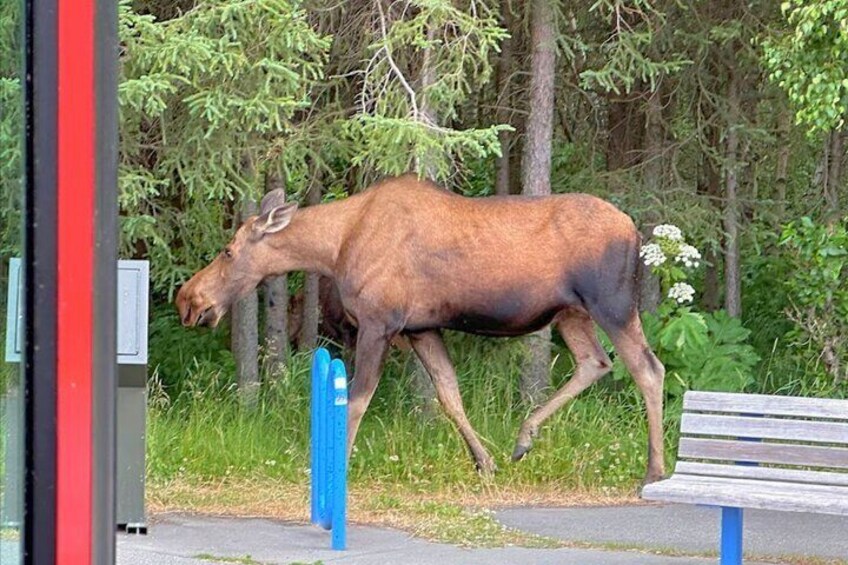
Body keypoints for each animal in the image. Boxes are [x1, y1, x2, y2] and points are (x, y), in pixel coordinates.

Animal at [179, 174, 664, 482]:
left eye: (228, 251)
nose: (188, 300)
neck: (335, 249)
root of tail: (636, 233)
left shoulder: (378, 323)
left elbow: (357, 400)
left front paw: (337, 465)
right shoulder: (420, 329)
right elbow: (449, 394)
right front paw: (484, 463)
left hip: (612, 304)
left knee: (648, 369)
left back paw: (654, 470)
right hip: (571, 313)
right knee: (594, 362)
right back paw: (523, 438)